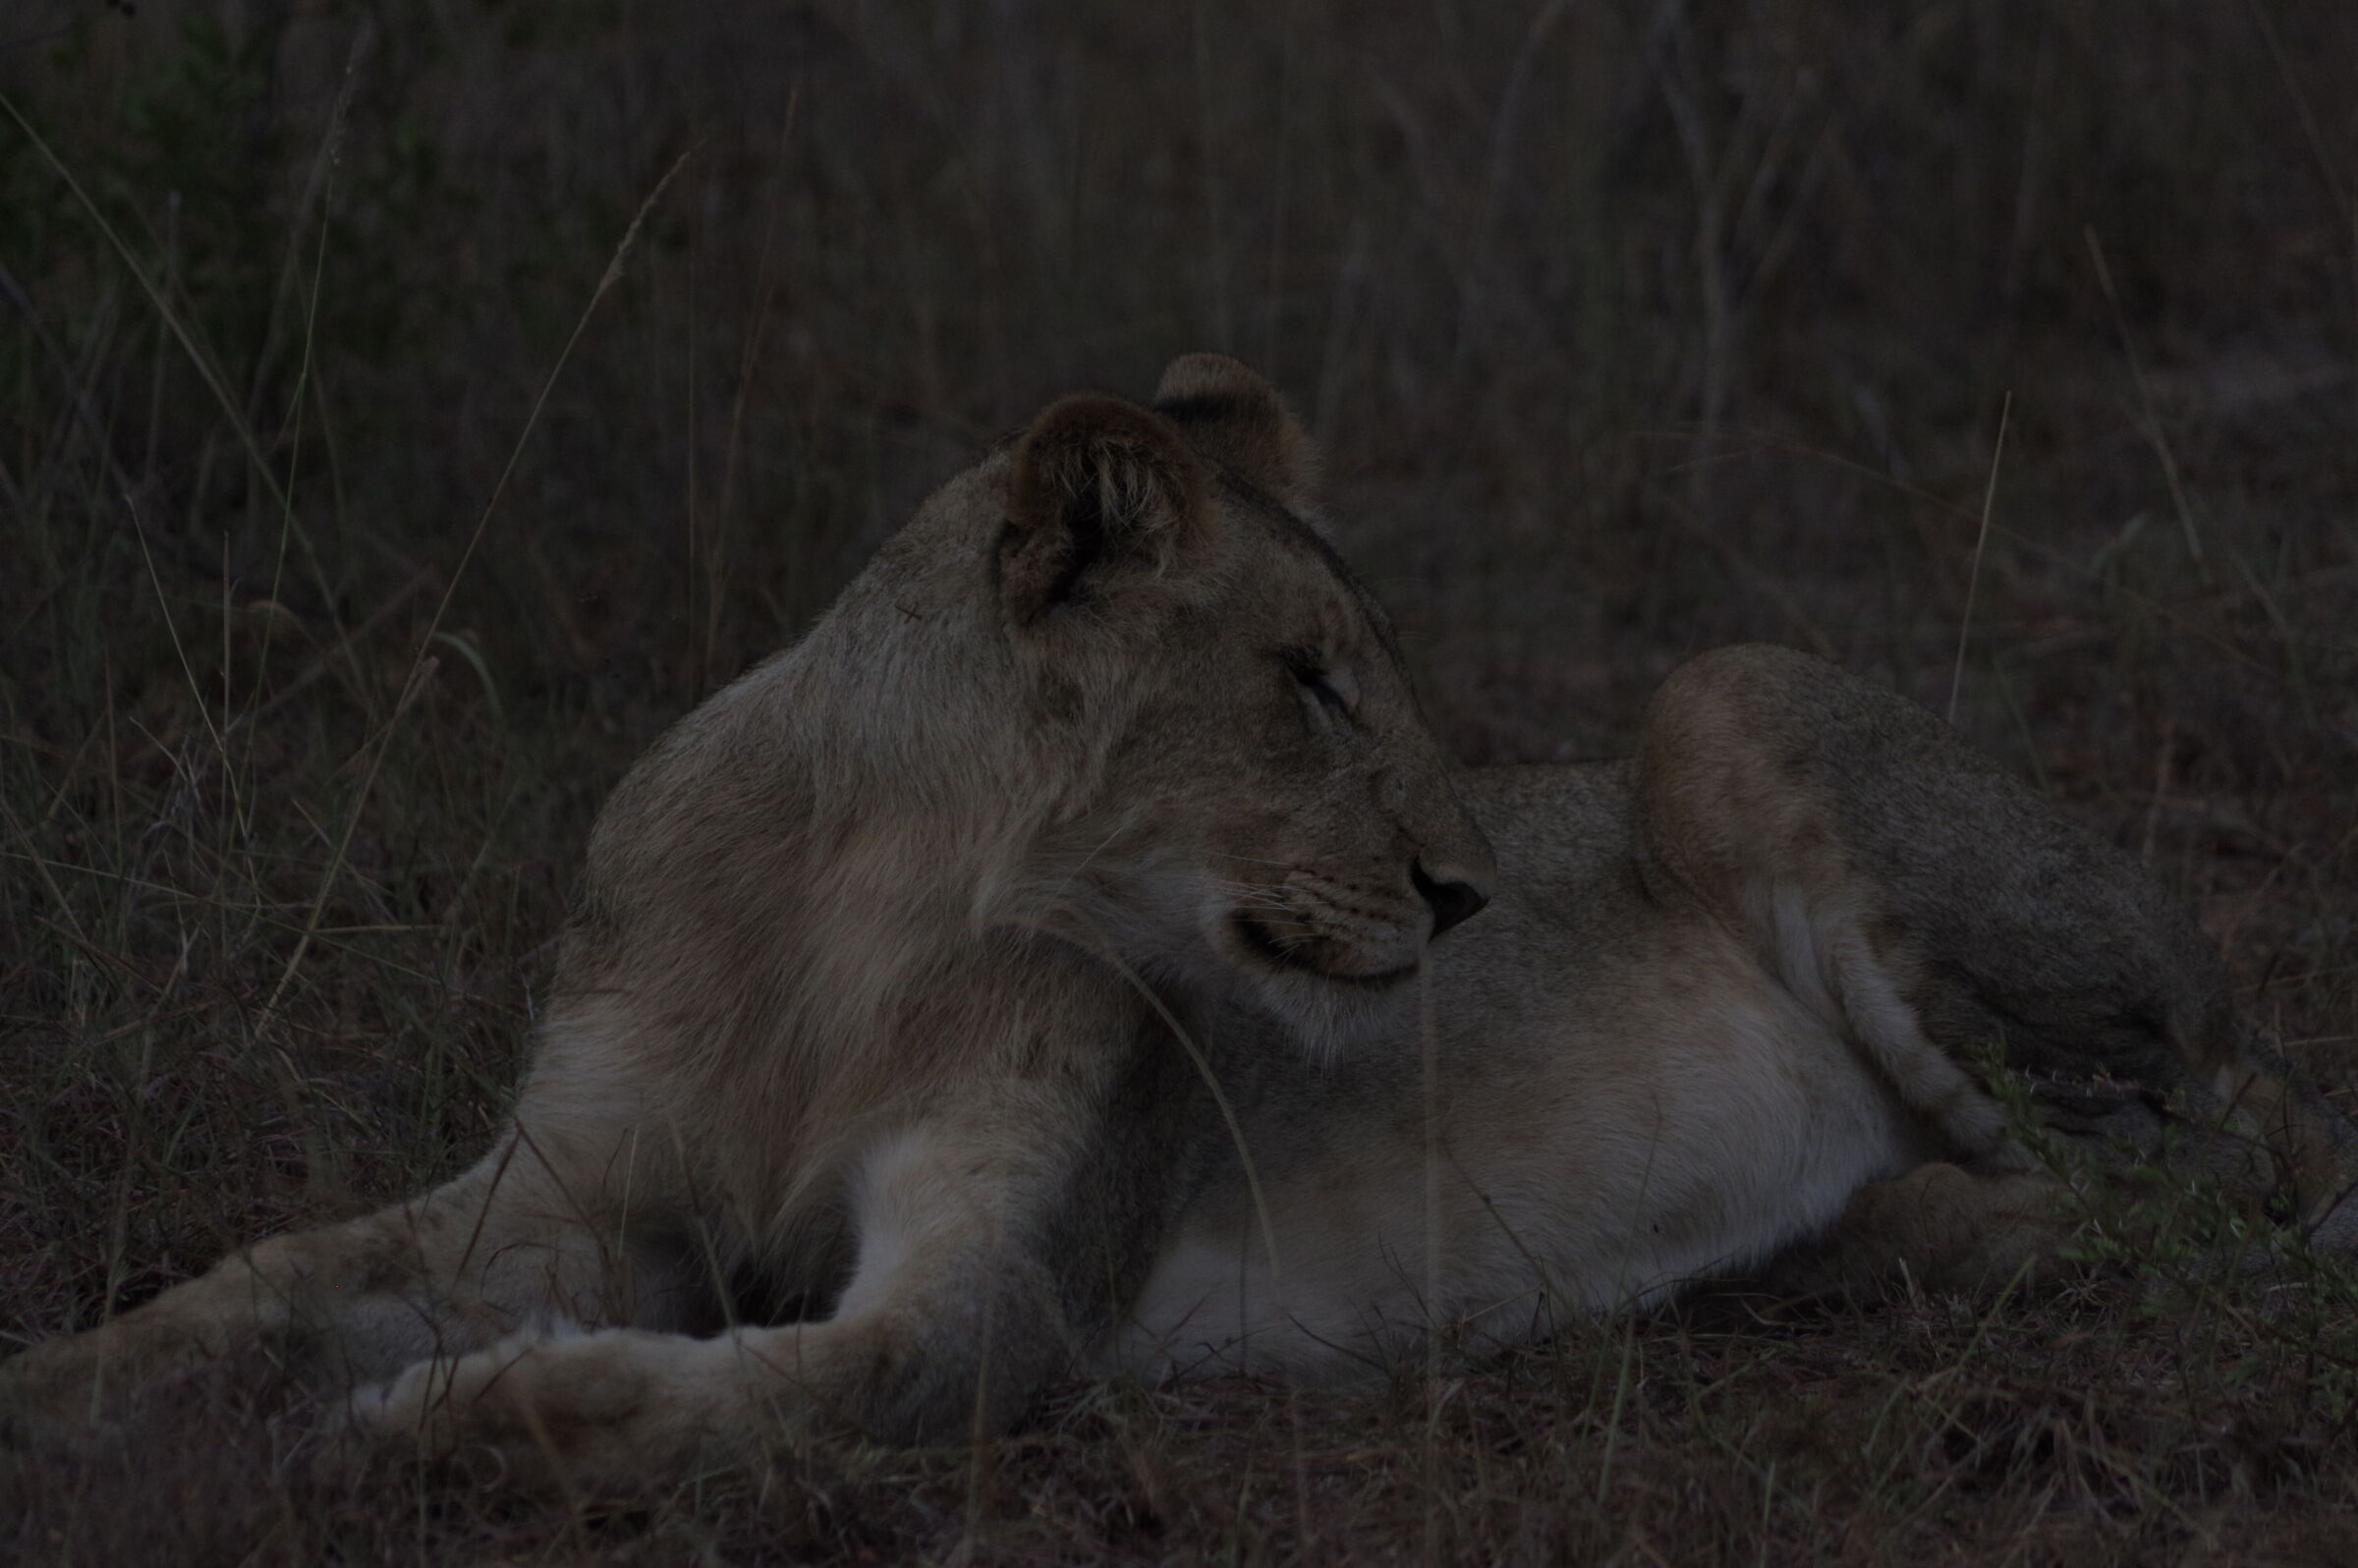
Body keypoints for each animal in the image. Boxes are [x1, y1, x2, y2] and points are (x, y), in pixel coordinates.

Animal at [3, 354, 2348, 1487]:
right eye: (1307, 680)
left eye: (1373, 670)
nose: (1469, 889)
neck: (859, 920)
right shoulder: (578, 1184)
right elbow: (253, 1282)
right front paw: (65, 1395)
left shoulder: (1001, 1305)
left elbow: (731, 1393)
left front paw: (426, 1428)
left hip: (1730, 690)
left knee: (2214, 1181)